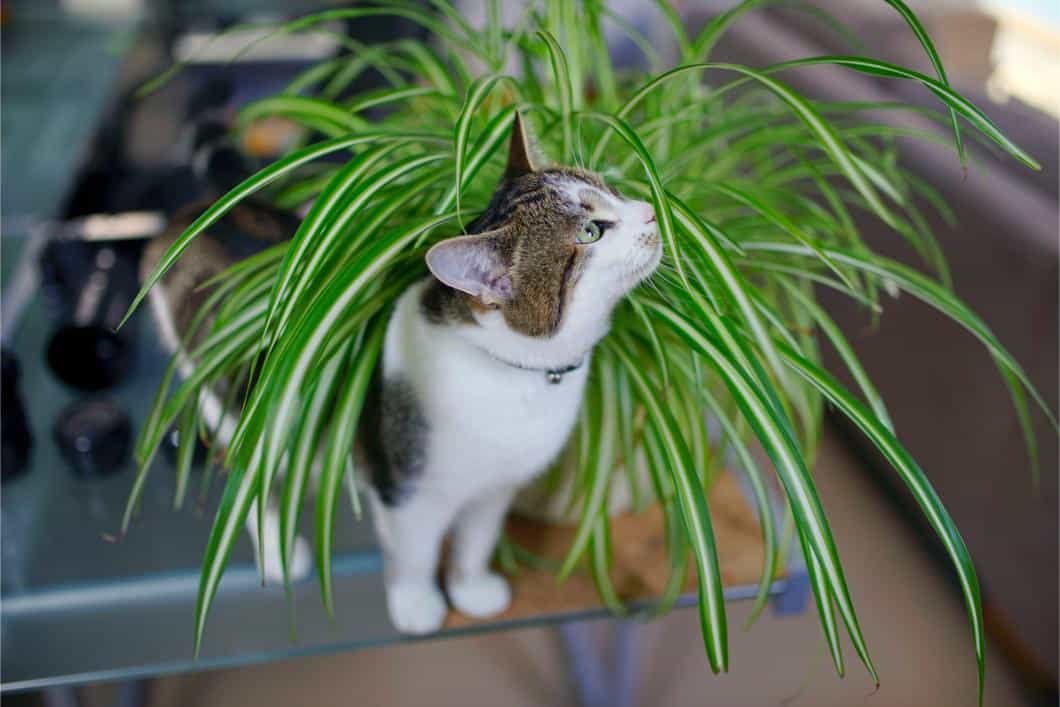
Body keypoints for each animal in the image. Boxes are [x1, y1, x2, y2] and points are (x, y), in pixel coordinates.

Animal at [144, 113, 657, 631]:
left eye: (609, 188)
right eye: (591, 230)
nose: (652, 211)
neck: (514, 374)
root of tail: (198, 213)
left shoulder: (495, 489)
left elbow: (476, 540)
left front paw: (471, 590)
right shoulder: (405, 491)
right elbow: (416, 555)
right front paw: (417, 604)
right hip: (234, 406)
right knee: (247, 477)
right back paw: (276, 549)